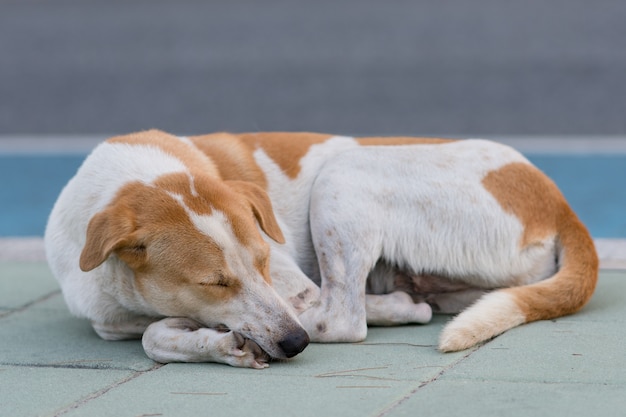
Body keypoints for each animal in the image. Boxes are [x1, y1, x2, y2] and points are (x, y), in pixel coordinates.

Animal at [44, 130, 596, 368]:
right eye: (215, 282)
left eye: (265, 261)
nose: (293, 343)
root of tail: (559, 202)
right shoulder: (107, 315)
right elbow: (146, 331)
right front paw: (214, 341)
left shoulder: (293, 288)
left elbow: (153, 334)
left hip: (343, 173)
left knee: (343, 318)